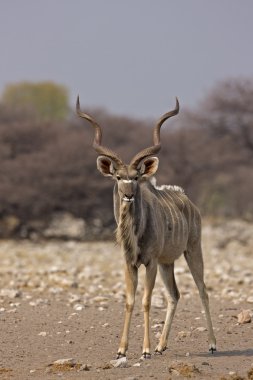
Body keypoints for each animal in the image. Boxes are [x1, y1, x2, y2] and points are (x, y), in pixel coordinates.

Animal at [76, 96, 216, 358]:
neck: (136, 234)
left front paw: (146, 349)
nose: (129, 195)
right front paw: (122, 350)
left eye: (136, 177)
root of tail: (188, 201)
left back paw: (212, 344)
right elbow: (130, 300)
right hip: (167, 262)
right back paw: (162, 345)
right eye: (118, 177)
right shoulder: (130, 263)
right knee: (174, 295)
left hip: (192, 250)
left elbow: (146, 300)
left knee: (202, 289)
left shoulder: (149, 262)